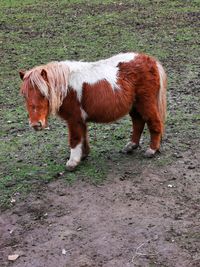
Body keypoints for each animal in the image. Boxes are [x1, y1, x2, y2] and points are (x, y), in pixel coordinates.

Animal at [19, 52, 167, 171]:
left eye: (44, 93)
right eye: (24, 95)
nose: (36, 124)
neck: (67, 87)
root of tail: (150, 60)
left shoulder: (73, 119)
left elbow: (75, 138)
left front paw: (72, 162)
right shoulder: (80, 119)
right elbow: (83, 136)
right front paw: (83, 155)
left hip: (146, 104)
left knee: (154, 123)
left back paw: (151, 150)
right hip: (135, 106)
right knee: (138, 123)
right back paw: (131, 146)